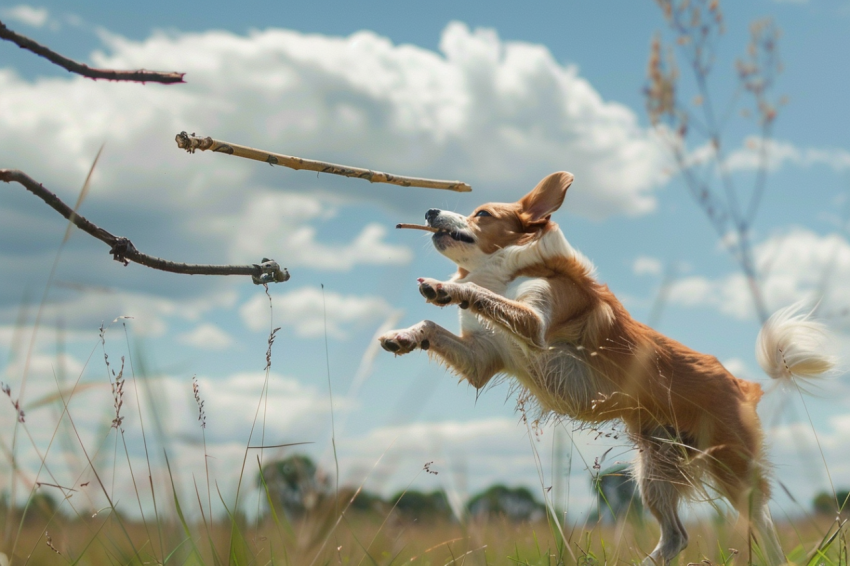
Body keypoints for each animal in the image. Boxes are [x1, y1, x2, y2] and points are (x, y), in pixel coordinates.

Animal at [380, 173, 836, 566]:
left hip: (733, 468)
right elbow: (431, 326)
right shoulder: (482, 360)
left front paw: (446, 288)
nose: (430, 210)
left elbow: (475, 291)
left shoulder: (534, 325)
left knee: (763, 525)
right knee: (676, 536)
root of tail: (744, 385)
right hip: (655, 469)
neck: (506, 272)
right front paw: (403, 336)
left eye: (483, 214)